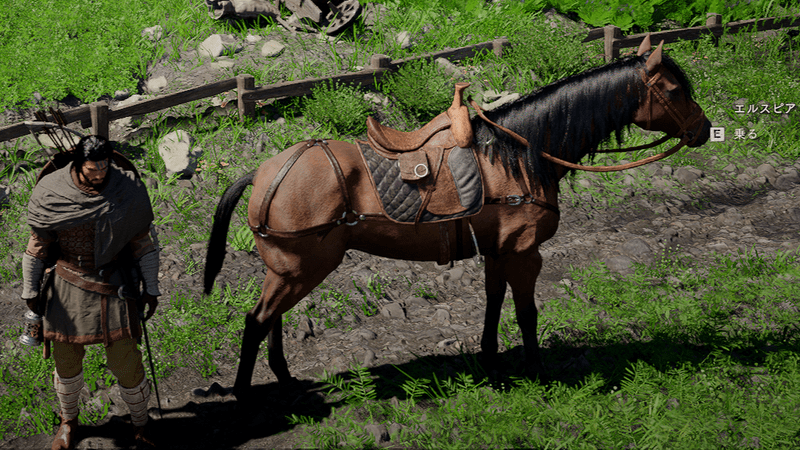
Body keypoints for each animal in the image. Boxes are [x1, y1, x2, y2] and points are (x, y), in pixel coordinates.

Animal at [203, 34, 712, 398]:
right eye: (673, 90)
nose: (704, 129)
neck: (520, 156)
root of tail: (262, 172)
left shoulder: (498, 251)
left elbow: (493, 303)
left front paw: (491, 362)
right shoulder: (525, 252)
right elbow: (526, 312)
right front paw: (537, 372)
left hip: (291, 269)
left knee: (272, 320)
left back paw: (286, 381)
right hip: (301, 268)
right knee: (257, 321)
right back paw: (245, 398)